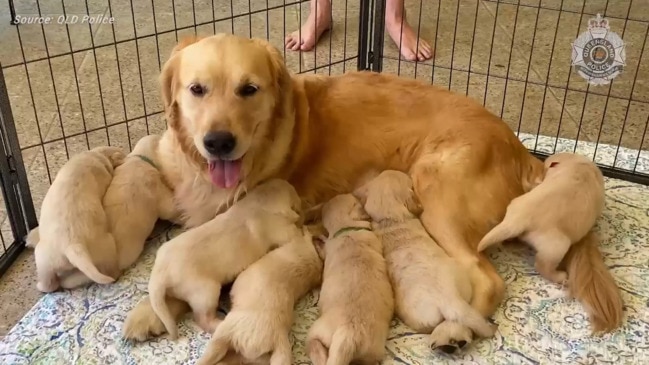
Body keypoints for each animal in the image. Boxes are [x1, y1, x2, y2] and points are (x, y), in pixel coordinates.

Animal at [148, 178, 302, 340]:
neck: (260, 201)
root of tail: (159, 273)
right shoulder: (282, 230)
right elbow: (294, 232)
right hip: (206, 292)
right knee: (203, 319)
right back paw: (220, 323)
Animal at [306, 193, 392, 364]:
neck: (347, 230)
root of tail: (349, 335)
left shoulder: (327, 249)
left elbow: (324, 248)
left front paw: (319, 239)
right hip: (370, 354)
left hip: (316, 331)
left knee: (316, 347)